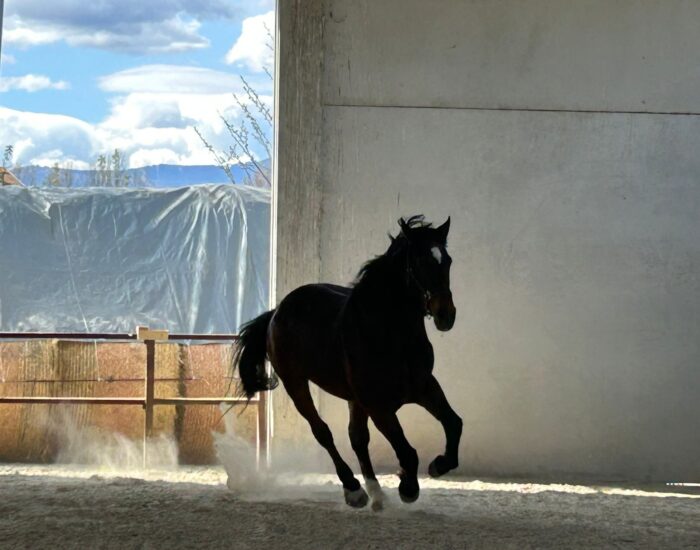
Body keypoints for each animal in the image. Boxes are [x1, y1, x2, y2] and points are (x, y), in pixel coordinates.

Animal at [233, 215, 462, 510]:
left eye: (447, 261)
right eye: (420, 262)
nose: (446, 315)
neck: (392, 335)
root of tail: (277, 312)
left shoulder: (424, 388)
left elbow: (454, 424)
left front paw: (438, 465)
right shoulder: (378, 406)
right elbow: (407, 451)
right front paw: (408, 487)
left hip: (354, 399)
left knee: (357, 439)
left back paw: (376, 492)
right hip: (296, 384)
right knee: (323, 433)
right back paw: (354, 489)